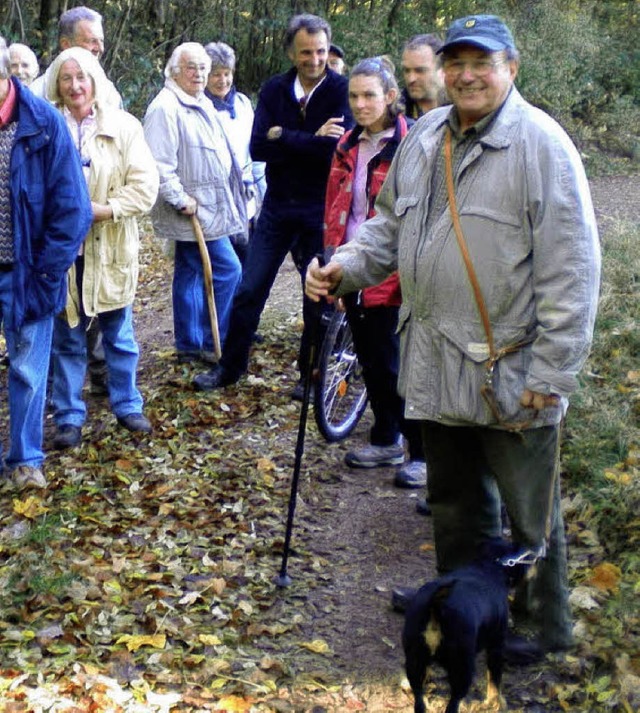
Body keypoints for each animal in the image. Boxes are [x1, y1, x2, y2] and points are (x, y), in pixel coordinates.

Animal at [402, 540, 532, 712]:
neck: (489, 566)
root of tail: (437, 603)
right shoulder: (496, 646)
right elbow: (494, 678)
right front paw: (497, 702)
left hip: (415, 657)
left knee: (419, 700)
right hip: (462, 668)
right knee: (453, 703)